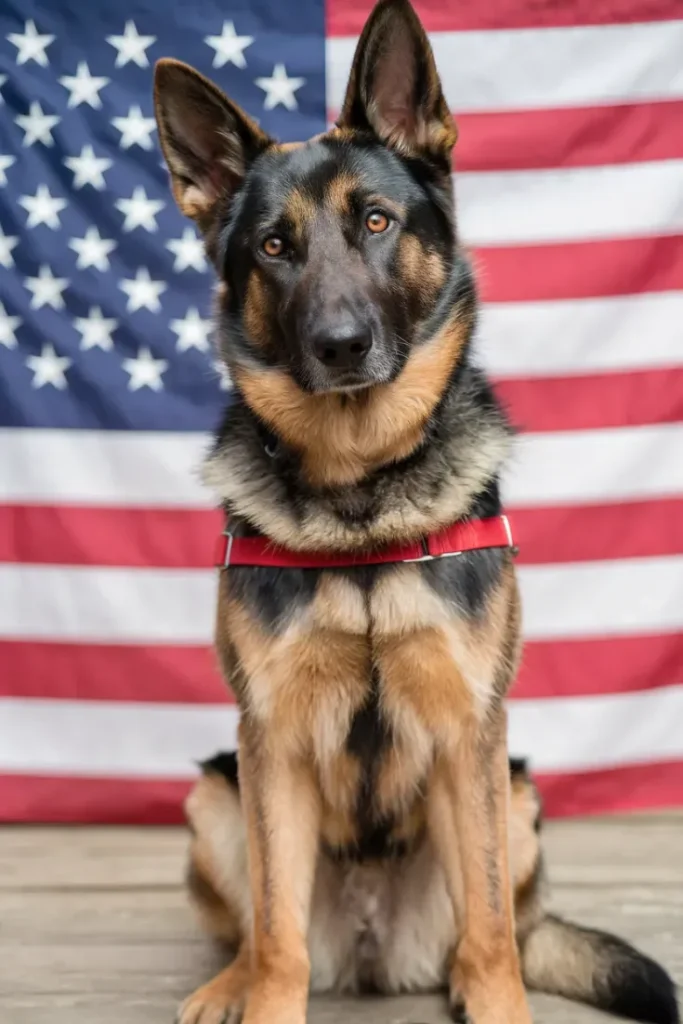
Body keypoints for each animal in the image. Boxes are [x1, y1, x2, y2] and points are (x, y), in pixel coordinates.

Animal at [153, 2, 679, 1024]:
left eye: (375, 221)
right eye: (272, 247)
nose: (340, 346)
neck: (361, 498)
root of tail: (370, 951)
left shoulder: (470, 731)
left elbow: (490, 931)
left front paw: (500, 1002)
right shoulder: (270, 741)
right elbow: (277, 937)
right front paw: (260, 997)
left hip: (515, 793)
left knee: (499, 927)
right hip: (215, 794)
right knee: (258, 930)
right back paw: (227, 984)